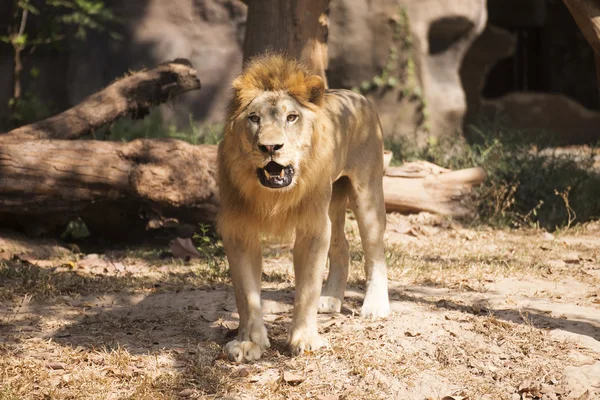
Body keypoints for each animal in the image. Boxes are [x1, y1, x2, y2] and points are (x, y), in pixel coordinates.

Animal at [216, 53, 390, 362]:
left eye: (291, 117)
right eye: (254, 118)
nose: (270, 147)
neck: (273, 196)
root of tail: (356, 95)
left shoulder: (313, 226)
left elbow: (307, 288)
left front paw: (305, 339)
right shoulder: (239, 229)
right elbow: (246, 294)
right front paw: (249, 343)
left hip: (367, 192)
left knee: (374, 251)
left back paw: (376, 306)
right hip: (333, 201)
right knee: (342, 246)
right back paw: (331, 298)